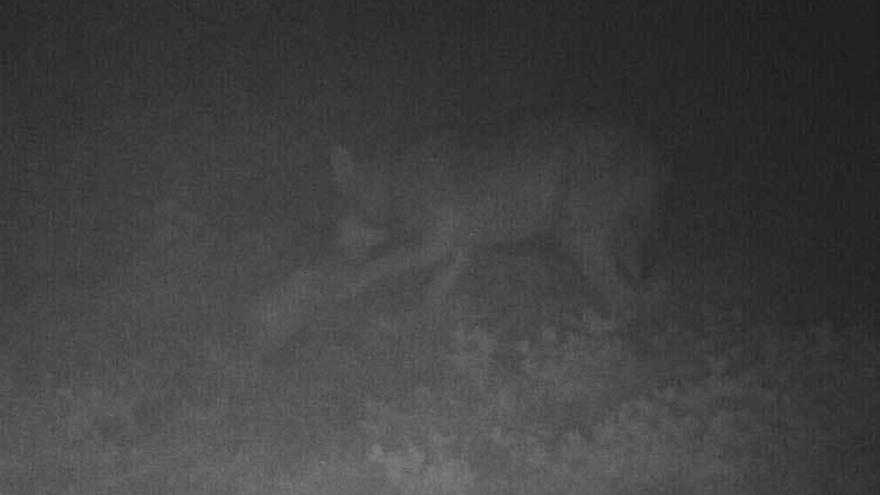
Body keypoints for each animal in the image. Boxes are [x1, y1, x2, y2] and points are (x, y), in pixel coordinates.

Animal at [326, 106, 664, 320]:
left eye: (339, 220)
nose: (337, 248)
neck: (392, 184)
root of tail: (649, 146)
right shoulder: (457, 246)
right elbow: (440, 283)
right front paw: (423, 316)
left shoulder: (431, 246)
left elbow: (377, 266)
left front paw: (345, 285)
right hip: (618, 238)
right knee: (638, 289)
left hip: (578, 237)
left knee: (626, 297)